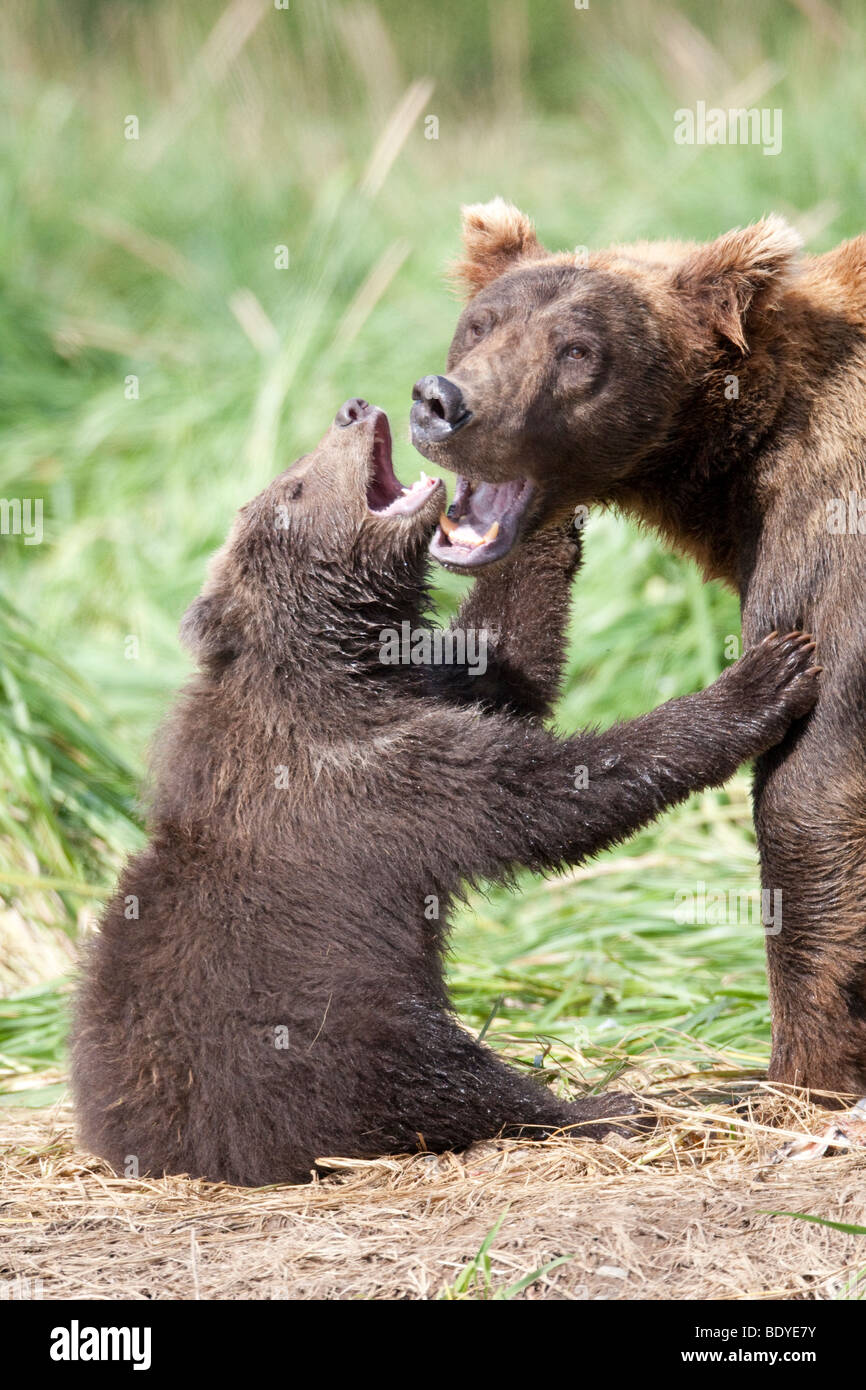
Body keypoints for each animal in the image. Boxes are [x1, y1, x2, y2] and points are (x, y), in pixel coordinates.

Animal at [411, 201, 866, 1100]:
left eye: (579, 349)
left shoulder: (833, 533)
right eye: (481, 323)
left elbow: (809, 790)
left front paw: (798, 1078)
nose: (444, 403)